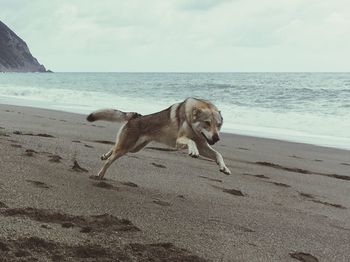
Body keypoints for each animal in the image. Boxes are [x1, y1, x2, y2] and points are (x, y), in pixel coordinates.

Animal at [86, 97, 231, 179]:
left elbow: (218, 154)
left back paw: (104, 156)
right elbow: (191, 142)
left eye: (219, 125)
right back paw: (100, 175)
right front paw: (193, 151)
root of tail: (136, 116)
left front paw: (224, 168)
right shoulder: (180, 141)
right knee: (109, 160)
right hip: (125, 149)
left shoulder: (203, 146)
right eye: (207, 123)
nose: (216, 138)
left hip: (133, 148)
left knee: (113, 147)